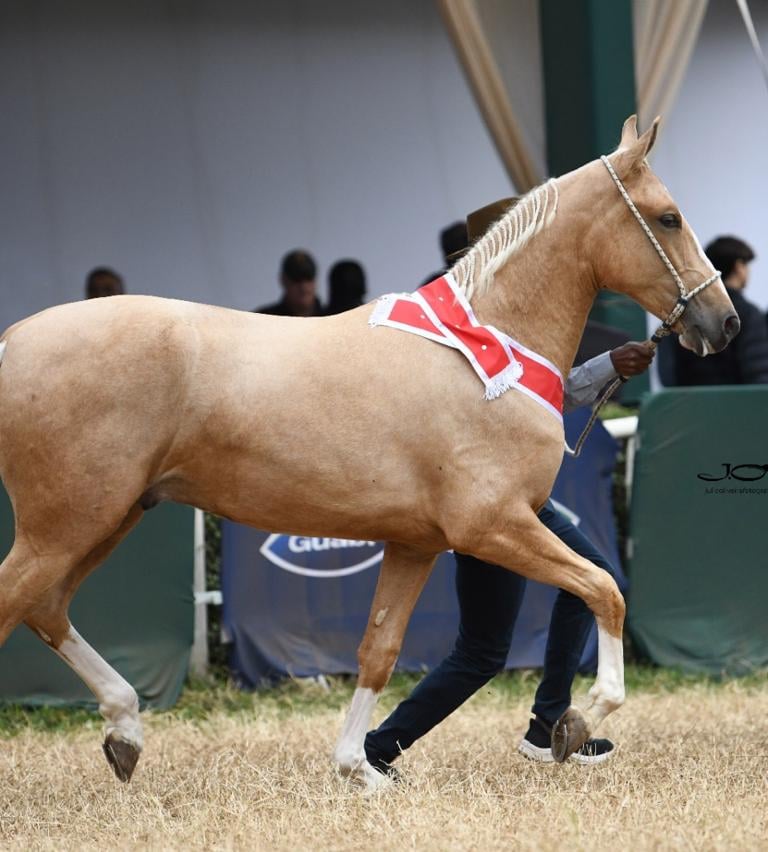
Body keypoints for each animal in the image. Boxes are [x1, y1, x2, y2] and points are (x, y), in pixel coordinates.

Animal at [0, 116, 737, 789]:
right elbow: (604, 589)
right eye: (669, 218)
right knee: (21, 603)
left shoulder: (417, 542)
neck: (484, 347)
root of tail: (12, 342)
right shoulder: (493, 527)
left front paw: (359, 766)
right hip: (68, 525)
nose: (724, 322)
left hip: (109, 517)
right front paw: (581, 719)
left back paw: (125, 731)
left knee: (46, 609)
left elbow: (379, 647)